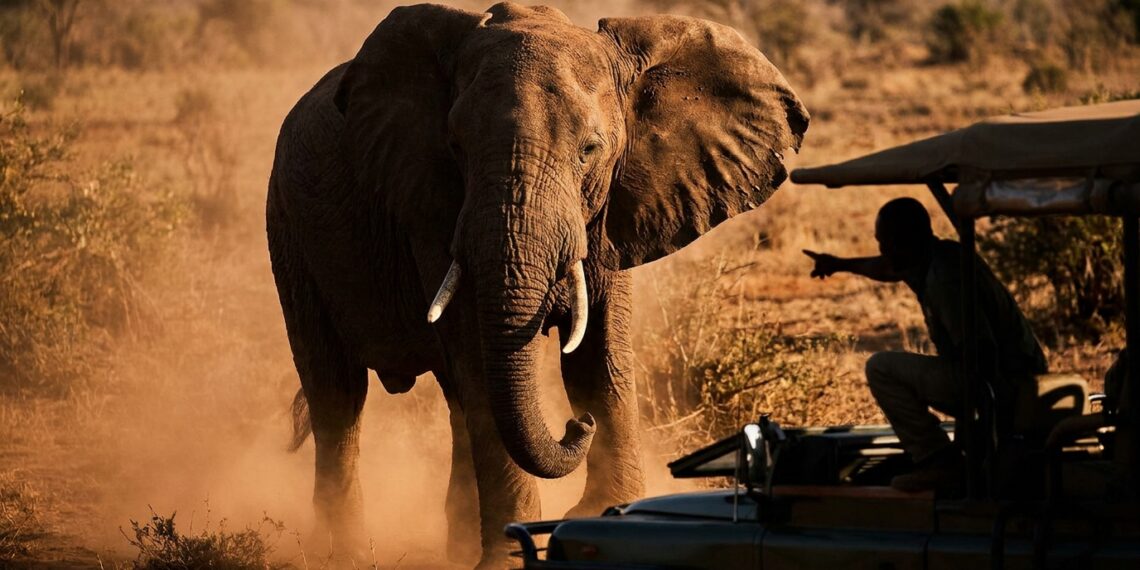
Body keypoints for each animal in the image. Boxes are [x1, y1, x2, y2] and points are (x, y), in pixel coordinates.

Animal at [267, 2, 808, 567]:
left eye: (590, 150)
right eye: (455, 148)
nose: (576, 426)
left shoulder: (611, 209)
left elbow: (597, 358)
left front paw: (605, 515)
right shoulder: (432, 205)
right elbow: (480, 359)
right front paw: (510, 554)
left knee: (447, 398)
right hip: (288, 228)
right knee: (337, 392)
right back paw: (344, 553)